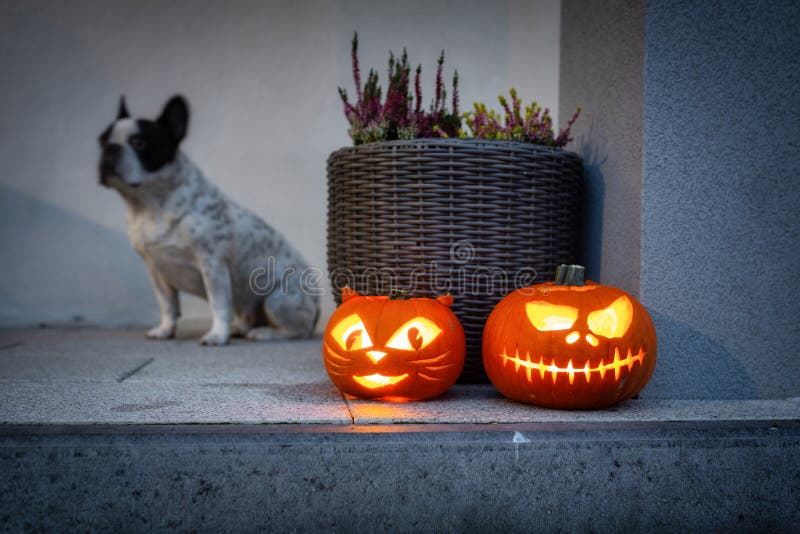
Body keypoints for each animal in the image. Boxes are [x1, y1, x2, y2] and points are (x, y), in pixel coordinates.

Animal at [101, 95, 322, 348]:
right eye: (101, 140)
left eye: (139, 142)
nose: (110, 149)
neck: (150, 205)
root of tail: (317, 307)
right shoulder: (156, 271)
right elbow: (167, 305)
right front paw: (165, 330)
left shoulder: (212, 265)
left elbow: (219, 305)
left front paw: (216, 335)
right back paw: (240, 328)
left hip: (278, 299)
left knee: (297, 330)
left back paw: (266, 333)